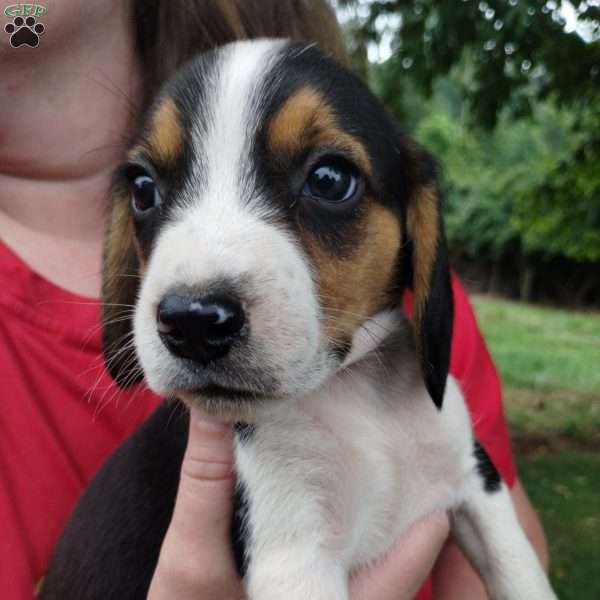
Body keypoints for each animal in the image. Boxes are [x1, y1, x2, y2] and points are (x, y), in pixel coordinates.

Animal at [43, 39, 556, 596]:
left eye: (329, 180)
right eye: (142, 189)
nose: (193, 322)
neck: (359, 397)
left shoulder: (476, 479)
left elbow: (520, 570)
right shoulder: (294, 555)